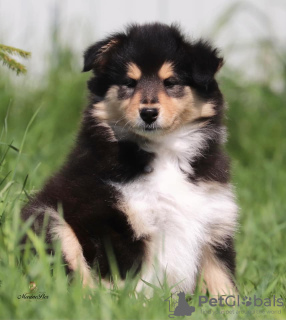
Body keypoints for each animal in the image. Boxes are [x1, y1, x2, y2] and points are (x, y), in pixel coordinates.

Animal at [21, 23, 237, 296]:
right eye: (129, 83)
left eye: (171, 82)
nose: (148, 113)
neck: (164, 152)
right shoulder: (109, 219)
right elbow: (124, 278)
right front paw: (126, 303)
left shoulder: (214, 223)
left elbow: (221, 279)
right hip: (47, 219)